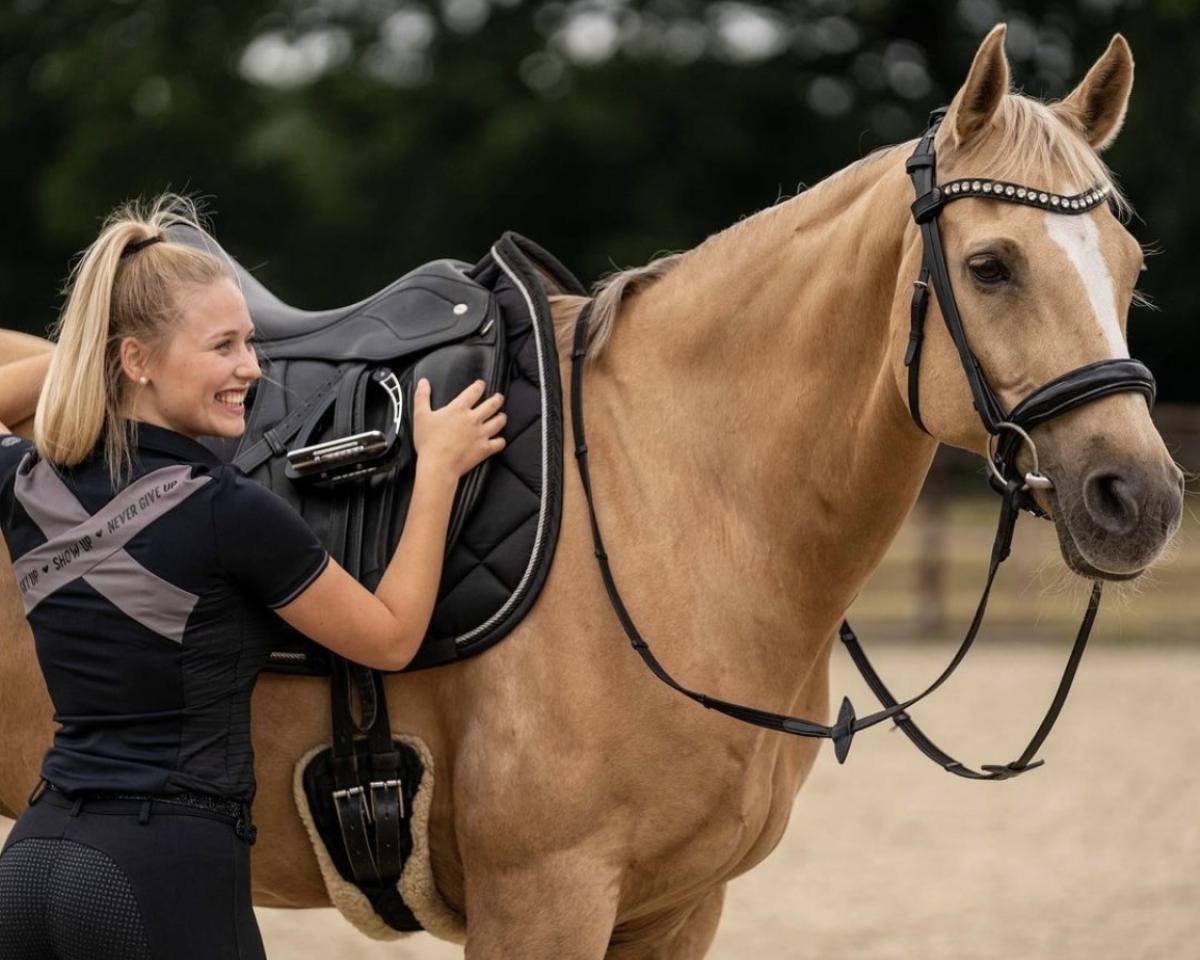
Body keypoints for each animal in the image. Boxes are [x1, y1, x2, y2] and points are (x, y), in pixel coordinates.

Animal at [0, 25, 1184, 957]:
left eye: (1129, 265)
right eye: (990, 266)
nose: (1140, 499)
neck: (672, 497)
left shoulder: (677, 909)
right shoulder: (546, 901)